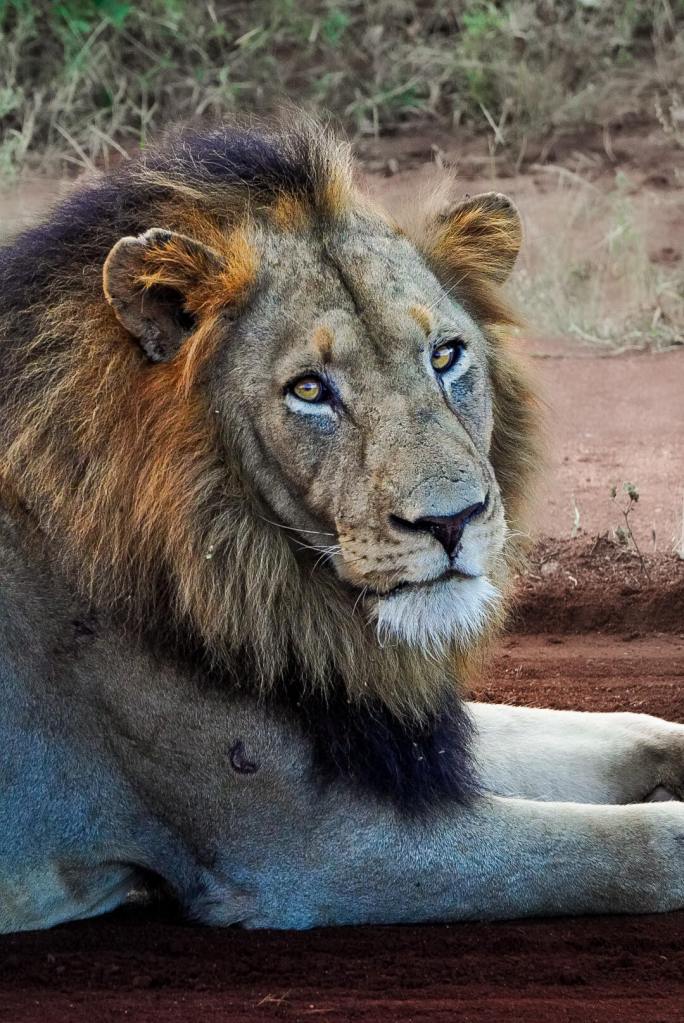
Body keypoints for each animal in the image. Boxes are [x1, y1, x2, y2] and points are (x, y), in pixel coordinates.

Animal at [0, 118, 682, 932]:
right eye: (309, 390)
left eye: (445, 355)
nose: (452, 521)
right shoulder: (312, 851)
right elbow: (641, 847)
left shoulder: (383, 734)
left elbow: (628, 727)